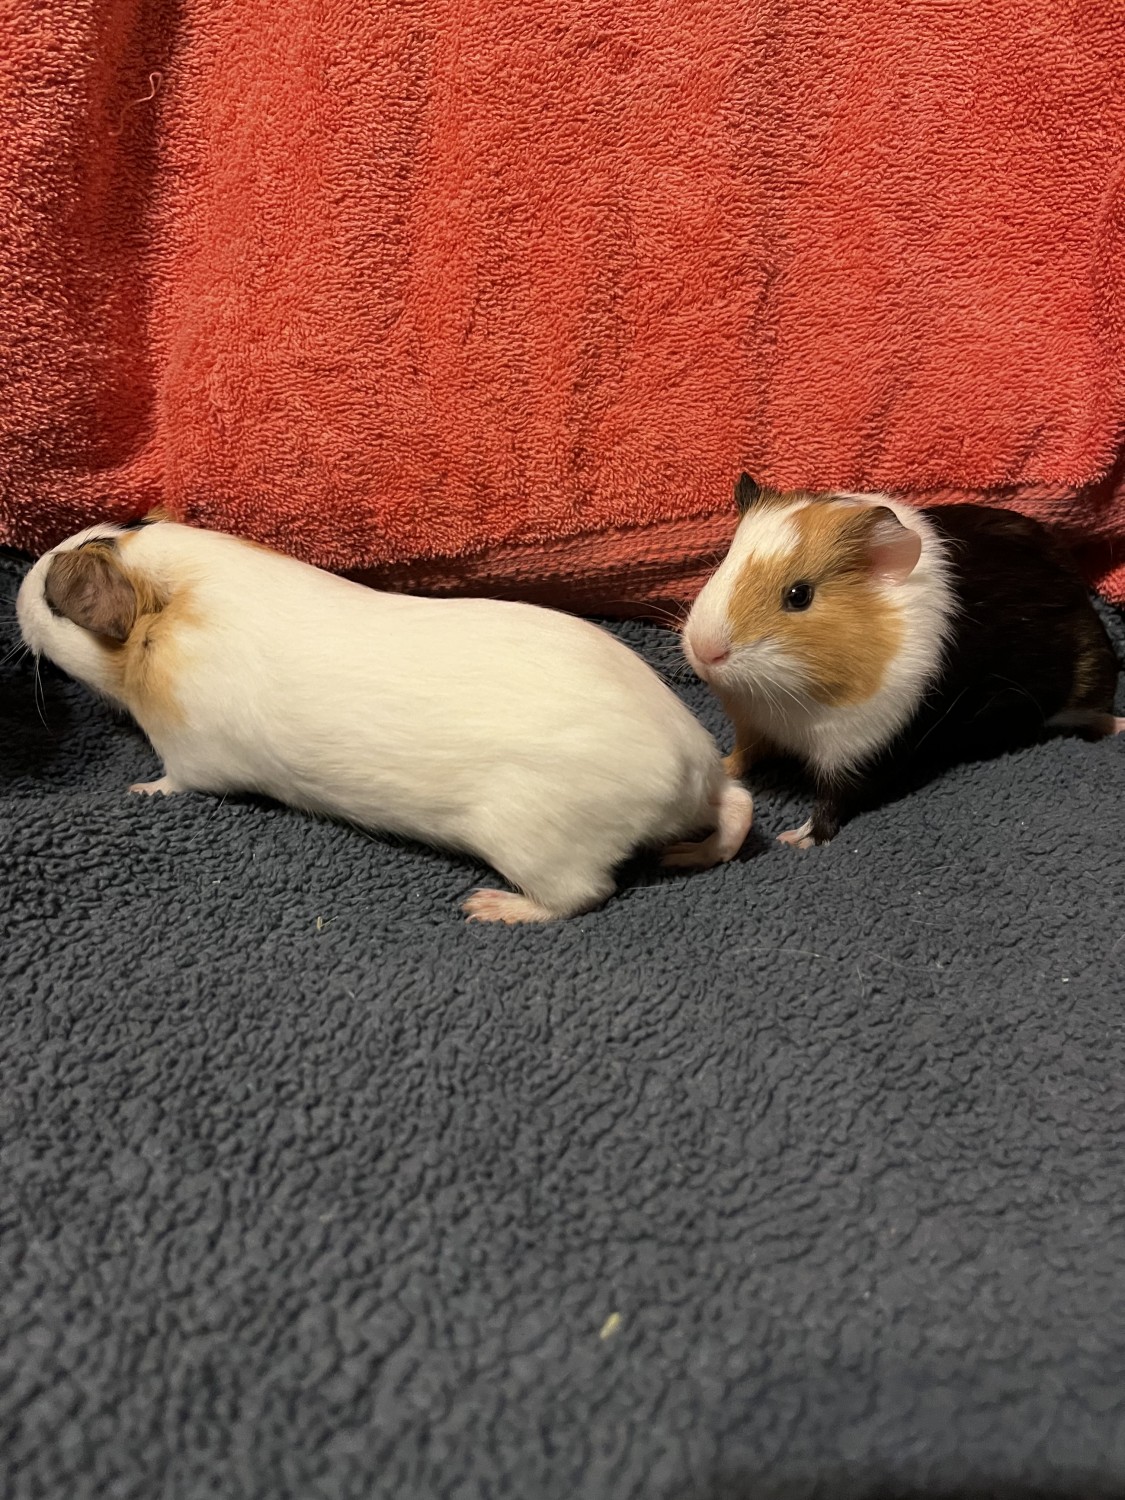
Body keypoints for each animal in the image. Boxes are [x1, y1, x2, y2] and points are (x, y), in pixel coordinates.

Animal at [17, 516, 753, 922]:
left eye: (57, 596)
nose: (19, 595)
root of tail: (689, 769)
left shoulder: (192, 758)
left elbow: (173, 781)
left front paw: (139, 788)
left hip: (536, 846)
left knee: (582, 896)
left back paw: (488, 909)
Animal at [682, 474, 1123, 847]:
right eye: (723, 564)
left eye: (799, 595)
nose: (705, 651)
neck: (789, 704)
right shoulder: (755, 726)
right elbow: (745, 755)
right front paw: (724, 766)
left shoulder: (859, 749)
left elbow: (834, 804)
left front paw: (794, 840)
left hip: (1089, 687)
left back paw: (1115, 726)